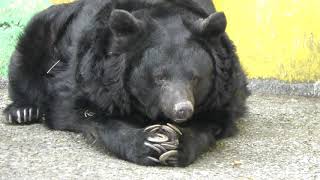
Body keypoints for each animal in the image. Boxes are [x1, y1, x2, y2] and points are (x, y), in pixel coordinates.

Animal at [2, 0, 249, 167]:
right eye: (159, 78)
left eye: (195, 78)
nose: (182, 110)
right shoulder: (91, 74)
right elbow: (77, 110)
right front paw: (146, 145)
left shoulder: (225, 86)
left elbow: (214, 119)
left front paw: (178, 146)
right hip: (37, 37)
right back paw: (22, 111)